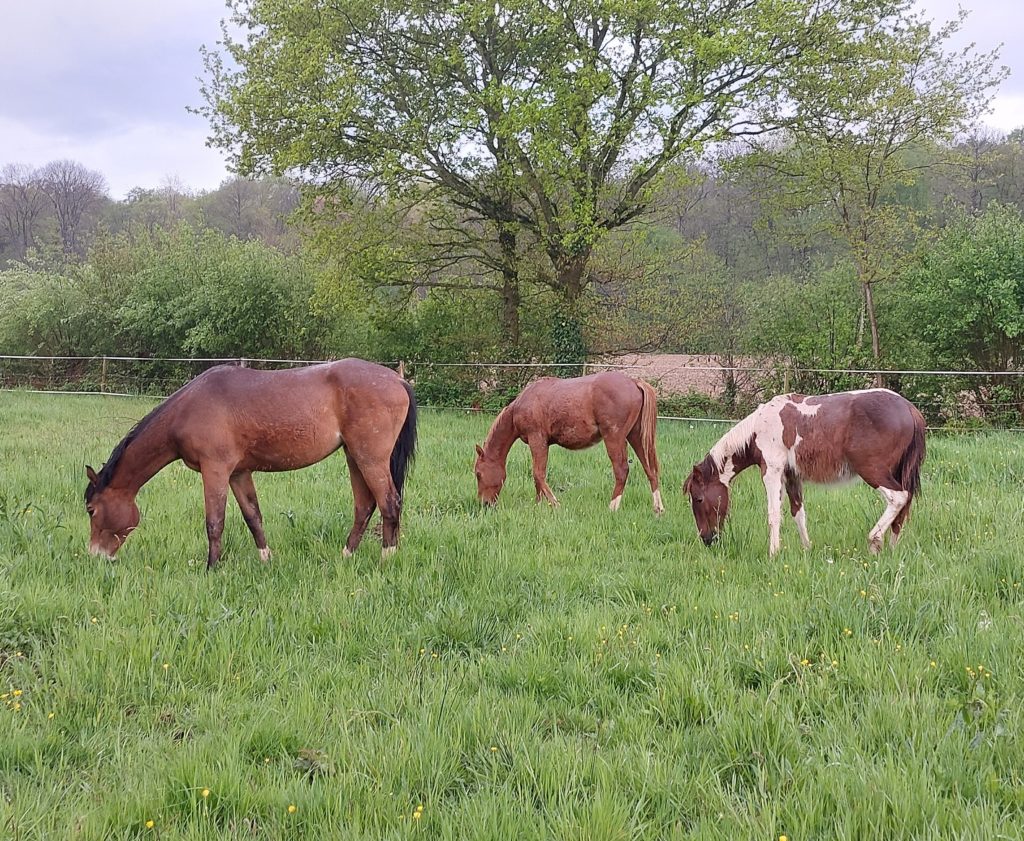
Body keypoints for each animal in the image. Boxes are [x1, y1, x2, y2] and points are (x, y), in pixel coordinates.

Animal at [85, 359, 417, 567]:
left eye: (91, 509)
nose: (96, 556)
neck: (189, 409)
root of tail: (397, 380)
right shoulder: (239, 473)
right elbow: (253, 517)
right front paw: (265, 560)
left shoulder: (215, 470)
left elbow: (214, 522)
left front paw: (212, 568)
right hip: (354, 456)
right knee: (364, 506)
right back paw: (346, 555)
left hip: (370, 458)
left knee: (389, 503)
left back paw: (387, 558)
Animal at [474, 371, 663, 512]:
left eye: (478, 474)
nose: (484, 503)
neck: (521, 406)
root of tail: (634, 382)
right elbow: (537, 477)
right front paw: (538, 505)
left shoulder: (537, 440)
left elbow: (538, 474)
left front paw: (554, 504)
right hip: (636, 437)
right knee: (650, 470)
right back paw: (658, 508)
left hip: (614, 438)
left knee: (622, 470)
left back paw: (612, 507)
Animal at [683, 388, 925, 555]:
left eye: (698, 499)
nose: (706, 539)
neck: (758, 429)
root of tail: (910, 409)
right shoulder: (792, 475)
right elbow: (798, 512)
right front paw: (807, 549)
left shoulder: (771, 472)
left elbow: (774, 514)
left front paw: (773, 553)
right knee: (902, 510)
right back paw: (891, 549)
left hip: (873, 472)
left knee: (898, 498)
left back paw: (875, 541)